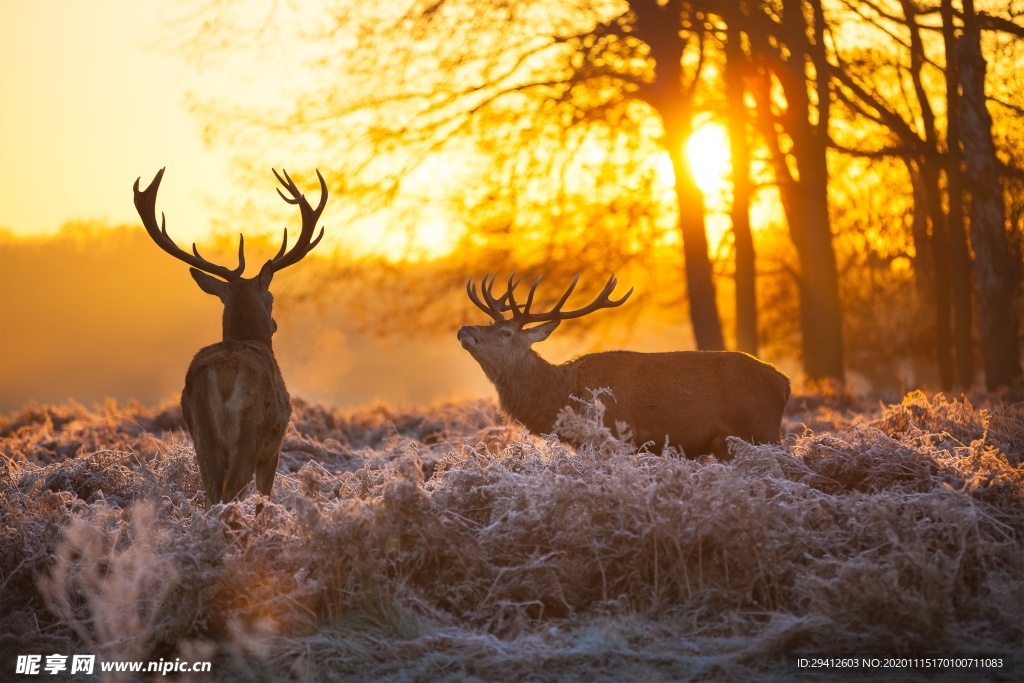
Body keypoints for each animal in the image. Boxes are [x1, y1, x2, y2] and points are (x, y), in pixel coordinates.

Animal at [131, 167, 323, 505]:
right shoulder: (273, 448)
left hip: (201, 433)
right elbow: (263, 497)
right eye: (271, 297)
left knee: (212, 493)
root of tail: (225, 372)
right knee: (232, 492)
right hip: (250, 432)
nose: (274, 324)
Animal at [458, 272, 790, 458]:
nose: (464, 329)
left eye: (505, 332)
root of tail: (784, 383)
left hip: (763, 431)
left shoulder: (611, 437)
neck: (563, 396)